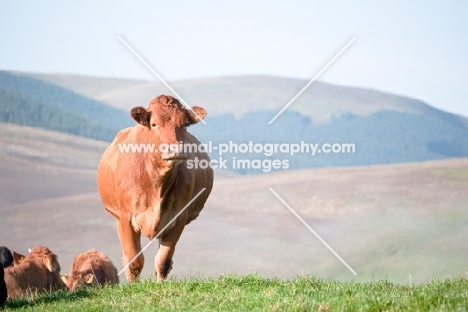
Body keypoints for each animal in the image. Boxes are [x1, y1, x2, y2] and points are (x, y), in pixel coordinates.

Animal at [99, 94, 216, 282]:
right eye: (154, 124)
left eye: (185, 124)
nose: (174, 150)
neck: (156, 183)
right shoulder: (125, 218)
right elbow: (134, 261)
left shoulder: (178, 218)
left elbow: (163, 261)